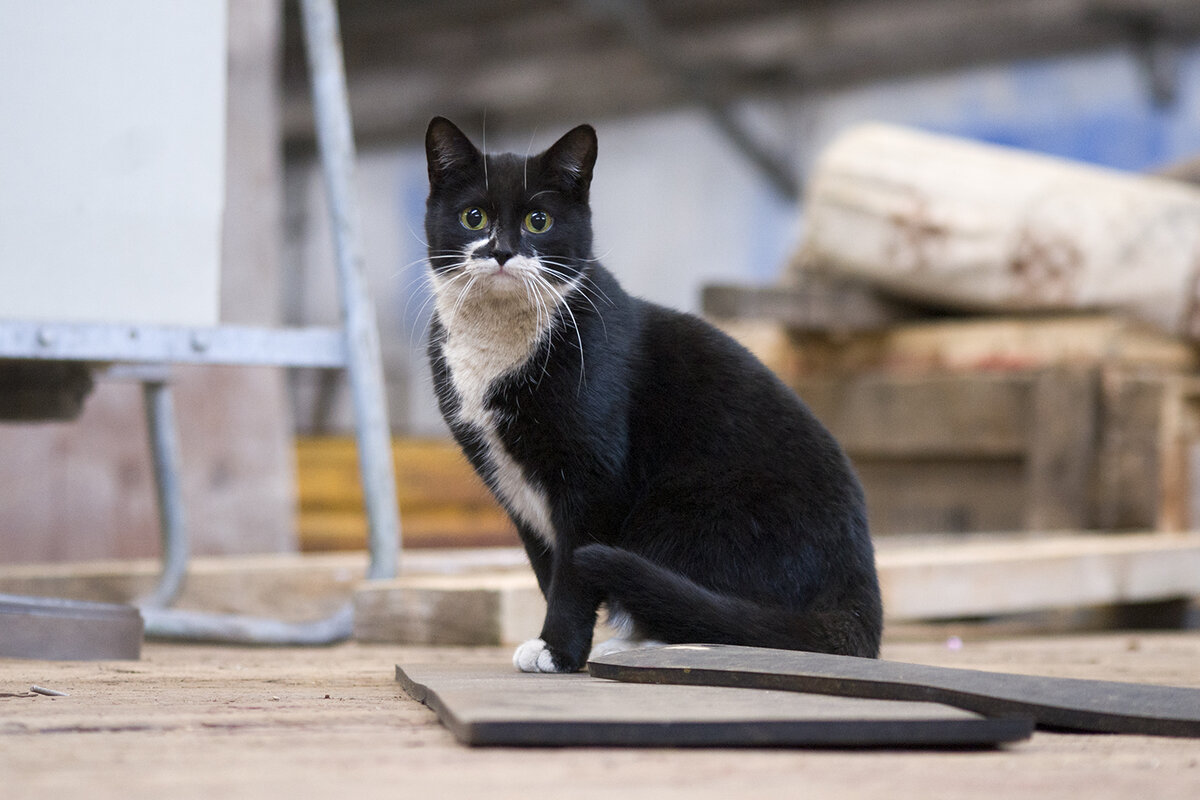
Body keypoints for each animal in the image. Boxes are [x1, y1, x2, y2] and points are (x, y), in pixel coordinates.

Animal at [422, 115, 883, 671]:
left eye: (538, 220)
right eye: (474, 217)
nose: (501, 251)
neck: (497, 344)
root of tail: (859, 596)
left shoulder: (593, 478)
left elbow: (573, 575)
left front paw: (559, 651)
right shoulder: (511, 486)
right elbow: (546, 569)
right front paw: (557, 646)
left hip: (678, 512)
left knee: (725, 622)